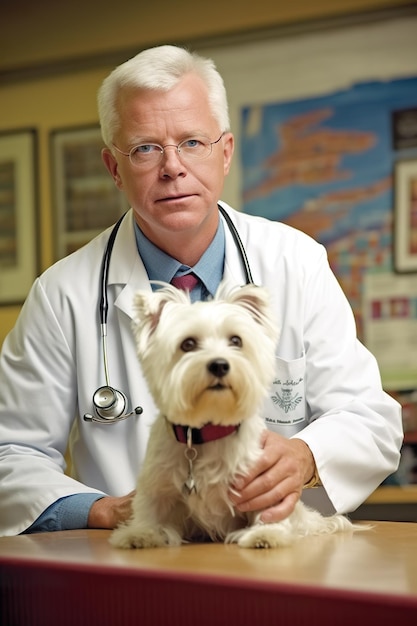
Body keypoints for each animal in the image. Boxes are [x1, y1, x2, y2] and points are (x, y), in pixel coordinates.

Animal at [110, 282, 358, 544]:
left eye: (236, 340)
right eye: (188, 344)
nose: (219, 364)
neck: (207, 431)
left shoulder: (261, 481)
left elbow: (268, 510)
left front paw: (265, 533)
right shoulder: (156, 481)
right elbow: (150, 509)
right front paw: (141, 533)